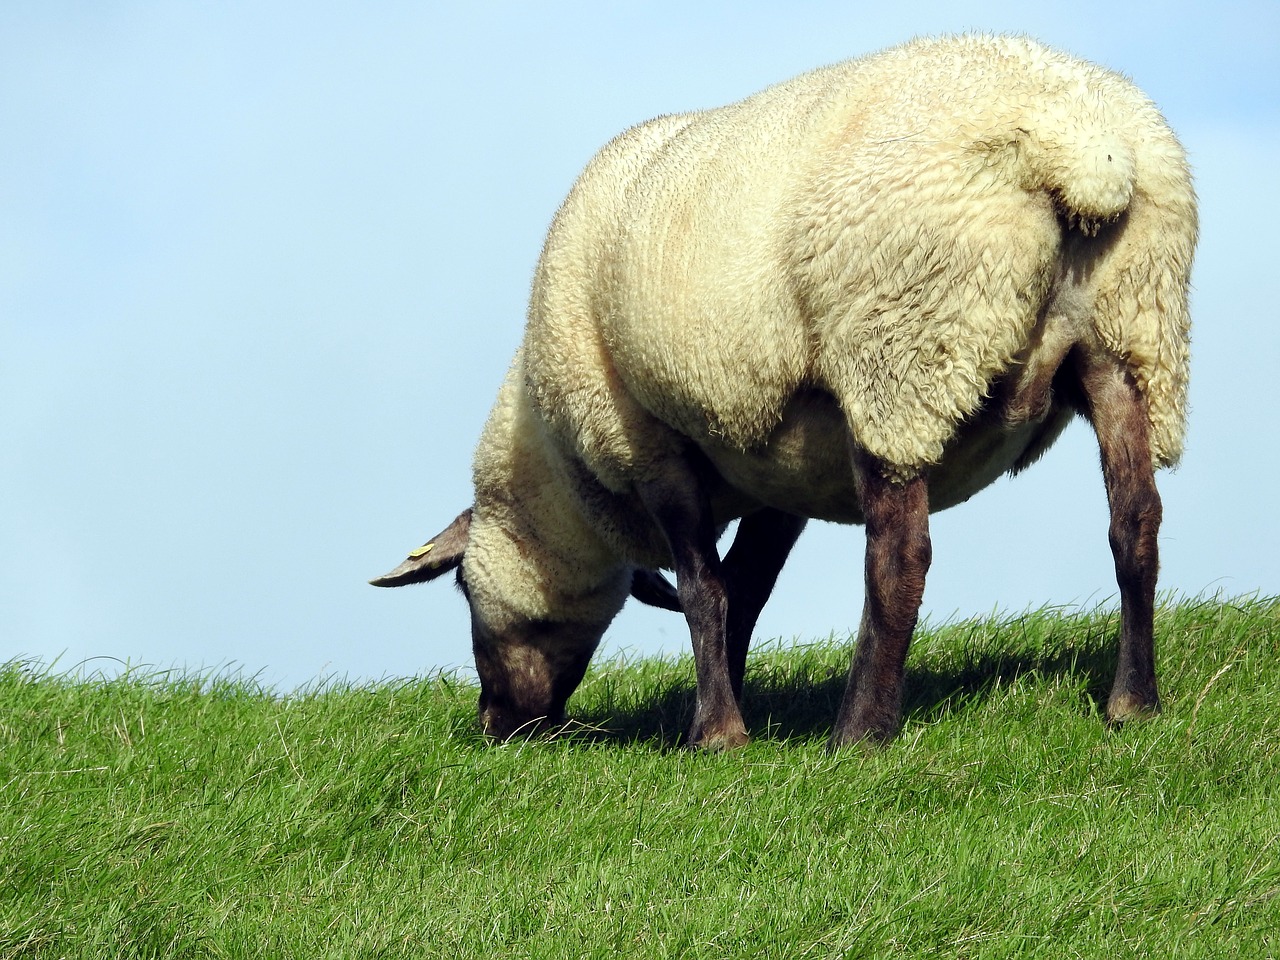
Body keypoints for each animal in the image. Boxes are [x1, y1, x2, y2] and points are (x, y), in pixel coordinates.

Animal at [373, 35, 1192, 752]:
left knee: (900, 557)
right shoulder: (778, 471)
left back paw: (859, 733)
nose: (498, 725)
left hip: (896, 353)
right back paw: (1134, 704)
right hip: (1130, 335)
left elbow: (703, 587)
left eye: (462, 590)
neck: (562, 472)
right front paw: (726, 704)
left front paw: (714, 737)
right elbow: (745, 588)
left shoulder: (649, 442)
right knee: (1135, 523)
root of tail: (1083, 150)